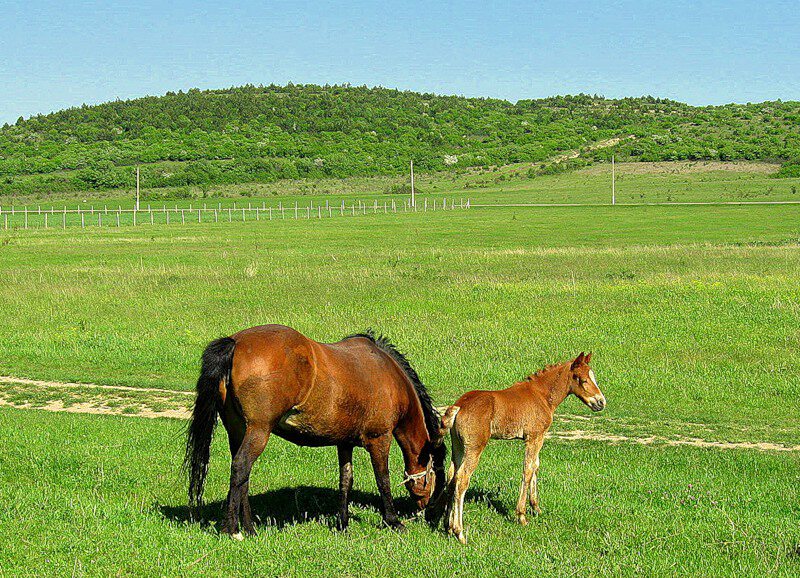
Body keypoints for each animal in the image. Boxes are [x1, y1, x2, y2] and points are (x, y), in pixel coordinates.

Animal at [183, 324, 444, 536]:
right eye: (436, 473)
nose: (429, 511)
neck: (388, 374)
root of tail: (235, 343)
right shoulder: (379, 439)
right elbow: (383, 479)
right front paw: (393, 521)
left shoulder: (344, 442)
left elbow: (345, 480)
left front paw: (343, 524)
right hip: (259, 430)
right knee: (240, 467)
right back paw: (232, 529)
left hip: (238, 430)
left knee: (242, 475)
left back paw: (248, 527)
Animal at [434, 348, 604, 544]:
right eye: (582, 379)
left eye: (593, 377)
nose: (601, 402)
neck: (541, 395)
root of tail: (459, 406)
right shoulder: (535, 437)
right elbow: (528, 469)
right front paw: (521, 515)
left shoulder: (538, 438)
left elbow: (536, 466)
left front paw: (536, 507)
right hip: (474, 448)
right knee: (462, 480)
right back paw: (459, 532)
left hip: (458, 447)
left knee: (451, 477)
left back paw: (447, 527)